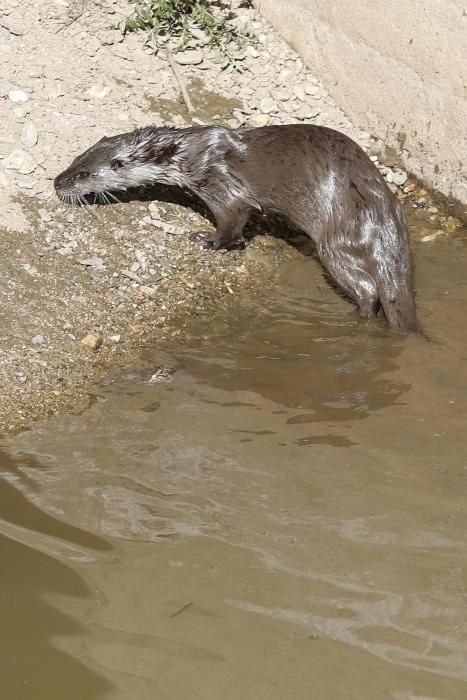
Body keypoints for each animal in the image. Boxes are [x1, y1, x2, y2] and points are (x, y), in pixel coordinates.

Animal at [54, 124, 420, 332]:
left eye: (85, 174)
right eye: (76, 159)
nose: (58, 181)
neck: (188, 155)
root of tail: (383, 220)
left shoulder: (220, 187)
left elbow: (232, 222)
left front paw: (207, 240)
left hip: (336, 243)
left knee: (367, 288)